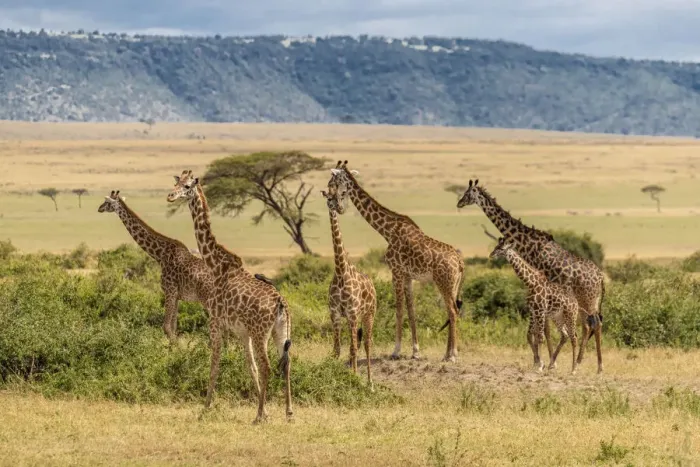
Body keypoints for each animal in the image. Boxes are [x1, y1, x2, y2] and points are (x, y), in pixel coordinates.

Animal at [97, 190, 214, 342]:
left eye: (107, 202)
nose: (99, 208)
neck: (161, 256)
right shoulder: (176, 295)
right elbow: (173, 328)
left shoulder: (170, 291)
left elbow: (166, 328)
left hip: (209, 301)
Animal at [166, 170, 293, 424]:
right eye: (175, 183)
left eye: (187, 186)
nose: (170, 196)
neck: (215, 264)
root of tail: (280, 303)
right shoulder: (241, 332)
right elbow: (250, 367)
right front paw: (266, 410)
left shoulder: (215, 321)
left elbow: (214, 363)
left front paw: (205, 408)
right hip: (280, 331)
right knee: (286, 364)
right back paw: (288, 413)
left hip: (261, 332)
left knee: (268, 366)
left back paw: (257, 418)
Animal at [321, 189, 377, 387]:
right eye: (329, 197)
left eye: (340, 196)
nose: (338, 207)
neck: (340, 272)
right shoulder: (336, 314)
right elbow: (337, 349)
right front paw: (336, 379)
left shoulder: (352, 314)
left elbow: (353, 349)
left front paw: (354, 380)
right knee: (357, 344)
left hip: (369, 315)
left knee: (366, 344)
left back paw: (369, 382)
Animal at [326, 160, 465, 363]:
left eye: (336, 184)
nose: (338, 207)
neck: (388, 230)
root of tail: (461, 262)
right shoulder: (408, 276)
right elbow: (411, 310)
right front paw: (415, 351)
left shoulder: (396, 272)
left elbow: (399, 310)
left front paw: (396, 351)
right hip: (453, 285)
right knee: (452, 311)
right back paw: (447, 353)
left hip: (444, 283)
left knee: (453, 312)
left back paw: (452, 355)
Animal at [490, 237, 580, 373]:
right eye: (496, 246)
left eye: (501, 248)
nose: (491, 255)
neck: (530, 283)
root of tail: (576, 303)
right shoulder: (532, 310)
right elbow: (530, 335)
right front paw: (539, 362)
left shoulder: (540, 310)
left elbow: (540, 337)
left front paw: (540, 366)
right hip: (557, 317)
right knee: (564, 335)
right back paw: (552, 364)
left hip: (570, 316)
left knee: (574, 337)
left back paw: (573, 369)